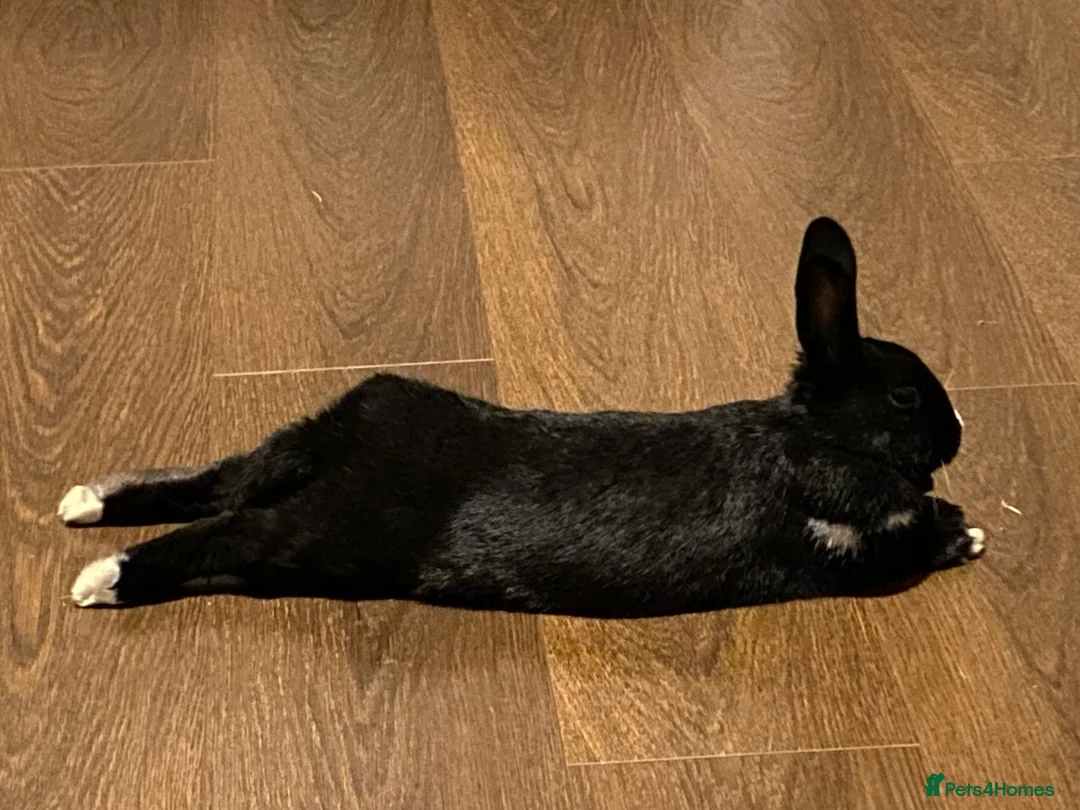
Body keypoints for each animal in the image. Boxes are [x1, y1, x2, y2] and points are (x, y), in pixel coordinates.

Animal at [62, 217, 984, 618]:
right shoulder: (847, 542)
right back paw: (102, 579)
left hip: (301, 453)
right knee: (231, 531)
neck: (811, 434)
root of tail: (353, 439)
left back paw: (84, 504)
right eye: (906, 397)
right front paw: (964, 531)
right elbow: (907, 542)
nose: (958, 433)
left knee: (219, 482)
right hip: (335, 535)